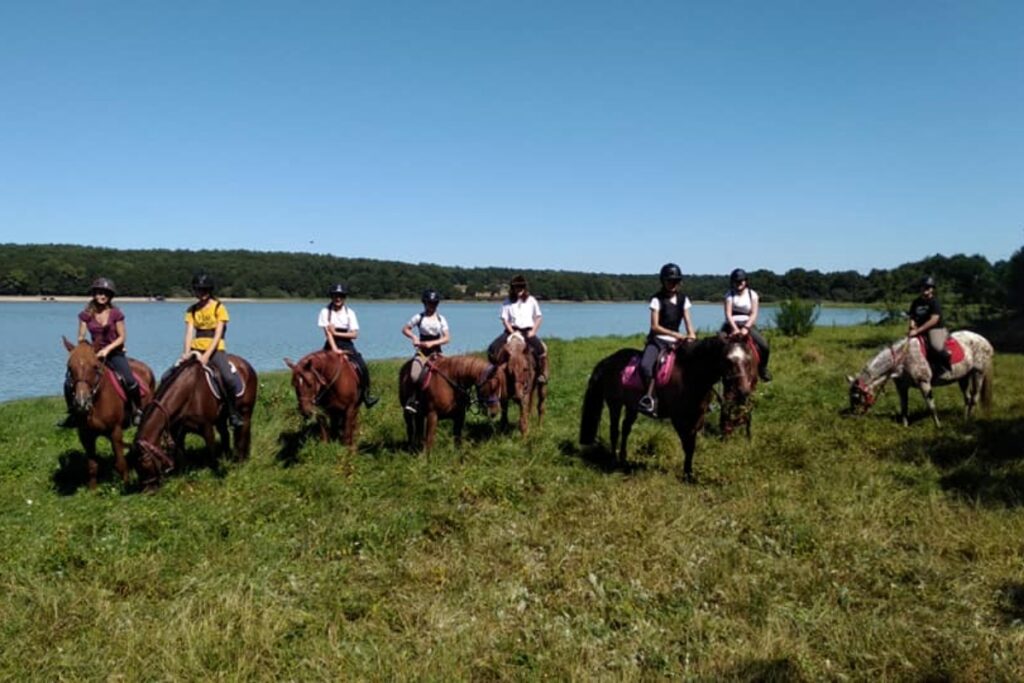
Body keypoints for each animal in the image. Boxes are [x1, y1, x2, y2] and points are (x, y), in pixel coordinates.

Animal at [60, 337, 153, 489]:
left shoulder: (115, 432)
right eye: (69, 368)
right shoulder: (86, 435)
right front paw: (92, 491)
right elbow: (92, 466)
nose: (81, 402)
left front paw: (126, 485)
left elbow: (121, 464)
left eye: (95, 366)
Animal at [133, 356, 258, 489]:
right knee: (226, 435)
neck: (188, 394)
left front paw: (217, 475)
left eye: (144, 462)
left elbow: (211, 451)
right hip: (221, 419)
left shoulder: (207, 427)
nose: (148, 490)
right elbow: (180, 455)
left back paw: (241, 462)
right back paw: (227, 457)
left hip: (245, 412)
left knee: (243, 434)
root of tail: (246, 365)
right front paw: (183, 478)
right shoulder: (178, 432)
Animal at [581, 335, 757, 481]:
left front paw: (689, 473)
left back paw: (624, 459)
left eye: (749, 360)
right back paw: (614, 461)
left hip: (631, 406)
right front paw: (687, 475)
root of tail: (608, 360)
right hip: (615, 403)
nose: (744, 392)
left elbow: (692, 445)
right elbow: (687, 445)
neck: (690, 374)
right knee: (614, 431)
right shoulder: (679, 419)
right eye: (728, 360)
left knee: (625, 429)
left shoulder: (697, 417)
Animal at [843, 327, 995, 423]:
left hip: (978, 373)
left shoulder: (924, 383)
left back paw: (969, 419)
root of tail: (986, 341)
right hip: (963, 377)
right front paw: (904, 426)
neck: (903, 359)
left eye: (856, 397)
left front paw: (938, 426)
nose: (853, 415)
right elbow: (904, 406)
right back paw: (964, 419)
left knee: (974, 398)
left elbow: (931, 406)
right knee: (967, 398)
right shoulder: (902, 387)